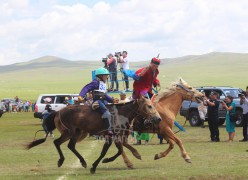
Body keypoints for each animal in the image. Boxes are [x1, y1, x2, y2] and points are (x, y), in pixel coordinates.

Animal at [25, 96, 161, 174]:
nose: (158, 118)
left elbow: (111, 151)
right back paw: (61, 161)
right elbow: (115, 151)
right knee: (57, 142)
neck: (121, 114)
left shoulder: (111, 137)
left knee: (70, 146)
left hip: (77, 132)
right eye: (149, 106)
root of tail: (58, 112)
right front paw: (102, 163)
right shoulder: (113, 136)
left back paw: (83, 162)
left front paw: (96, 165)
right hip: (69, 132)